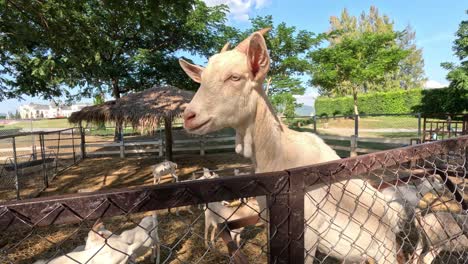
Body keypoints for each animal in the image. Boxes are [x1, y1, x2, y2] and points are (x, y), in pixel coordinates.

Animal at [179, 28, 406, 264]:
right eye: (202, 79)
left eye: (235, 77)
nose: (188, 116)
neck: (279, 153)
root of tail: (393, 215)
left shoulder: (308, 235)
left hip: (385, 251)